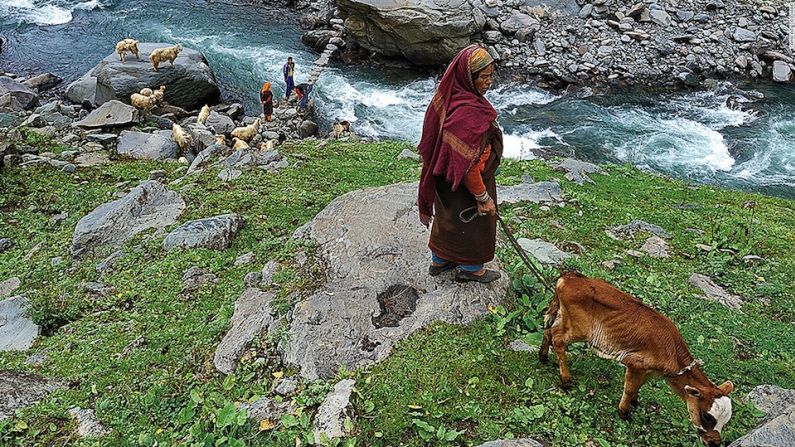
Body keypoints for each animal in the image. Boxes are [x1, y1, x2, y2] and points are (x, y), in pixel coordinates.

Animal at [536, 272, 736, 446]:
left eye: (725, 421)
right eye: (707, 416)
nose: (714, 442)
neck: (673, 353)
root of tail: (567, 278)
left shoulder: (648, 370)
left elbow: (638, 386)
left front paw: (634, 403)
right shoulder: (635, 363)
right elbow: (630, 388)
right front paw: (624, 413)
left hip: (561, 315)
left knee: (548, 328)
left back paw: (543, 356)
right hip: (579, 328)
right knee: (558, 339)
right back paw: (566, 379)